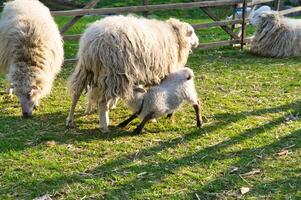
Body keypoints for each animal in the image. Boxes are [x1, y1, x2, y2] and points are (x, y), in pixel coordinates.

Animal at [65, 14, 197, 132]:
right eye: (192, 32)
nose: (197, 42)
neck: (175, 36)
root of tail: (93, 43)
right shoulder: (160, 73)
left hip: (86, 69)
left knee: (77, 93)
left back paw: (70, 120)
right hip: (112, 72)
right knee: (102, 101)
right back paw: (104, 125)